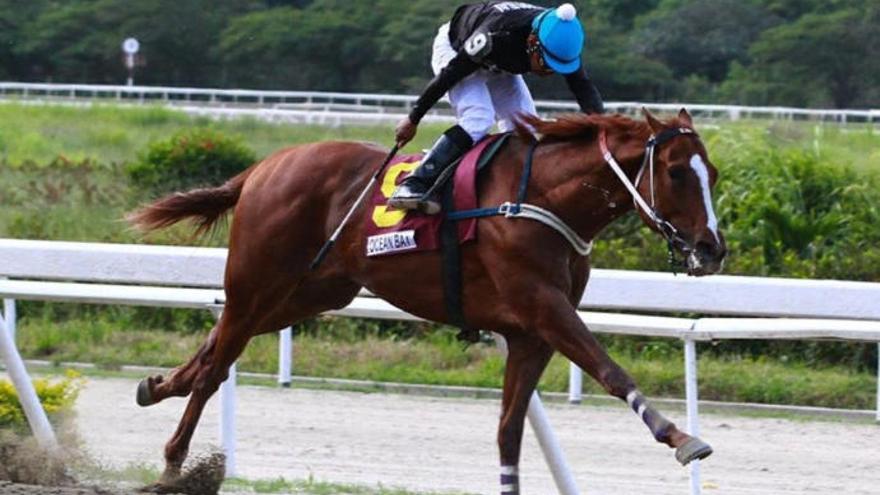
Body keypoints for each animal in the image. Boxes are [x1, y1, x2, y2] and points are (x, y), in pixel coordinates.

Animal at [129, 108, 726, 494]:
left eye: (713, 173)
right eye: (676, 171)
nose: (710, 248)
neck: (543, 199)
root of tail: (263, 167)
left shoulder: (529, 334)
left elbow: (509, 431)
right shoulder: (544, 307)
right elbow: (611, 370)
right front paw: (681, 437)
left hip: (313, 290)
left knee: (215, 348)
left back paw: (157, 384)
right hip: (257, 280)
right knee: (217, 366)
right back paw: (175, 465)